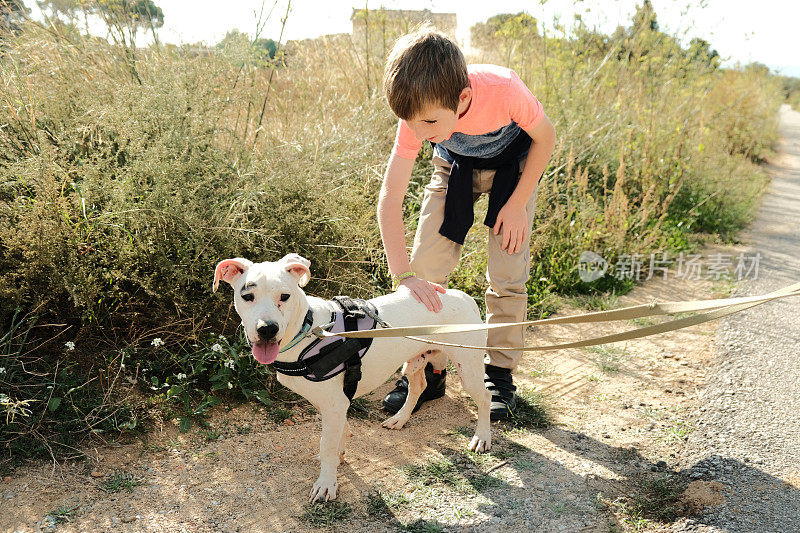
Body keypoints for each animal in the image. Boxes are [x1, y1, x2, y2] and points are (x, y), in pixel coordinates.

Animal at [212, 251, 490, 500]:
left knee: (485, 398)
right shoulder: (334, 402)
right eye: (247, 296)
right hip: (414, 361)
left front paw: (326, 483)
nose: (267, 329)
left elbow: (327, 444)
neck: (309, 331)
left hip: (468, 367)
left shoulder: (334, 404)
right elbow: (338, 435)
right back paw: (399, 419)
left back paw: (482, 438)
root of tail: (462, 295)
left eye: (285, 296)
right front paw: (339, 454)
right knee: (418, 385)